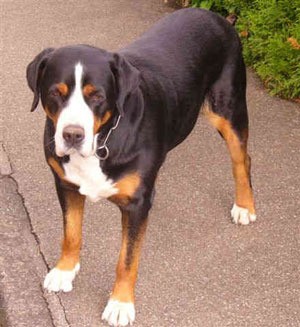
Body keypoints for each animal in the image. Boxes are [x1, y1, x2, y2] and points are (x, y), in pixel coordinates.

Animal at [26, 7, 255, 327]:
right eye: (55, 93)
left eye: (96, 96)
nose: (72, 135)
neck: (103, 140)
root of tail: (213, 15)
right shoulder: (66, 185)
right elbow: (71, 233)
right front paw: (64, 271)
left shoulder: (137, 204)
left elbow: (127, 259)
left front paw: (120, 303)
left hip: (228, 110)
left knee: (241, 159)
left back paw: (245, 206)